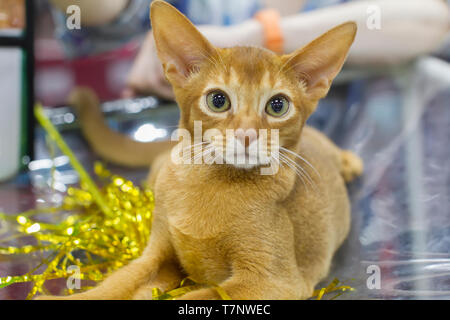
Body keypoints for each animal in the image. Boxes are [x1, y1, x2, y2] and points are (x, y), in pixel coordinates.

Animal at [37, 0, 362, 300]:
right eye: (218, 100)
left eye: (277, 105)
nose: (246, 135)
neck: (208, 183)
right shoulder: (157, 254)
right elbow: (119, 281)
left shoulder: (273, 281)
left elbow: (198, 294)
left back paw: (349, 162)